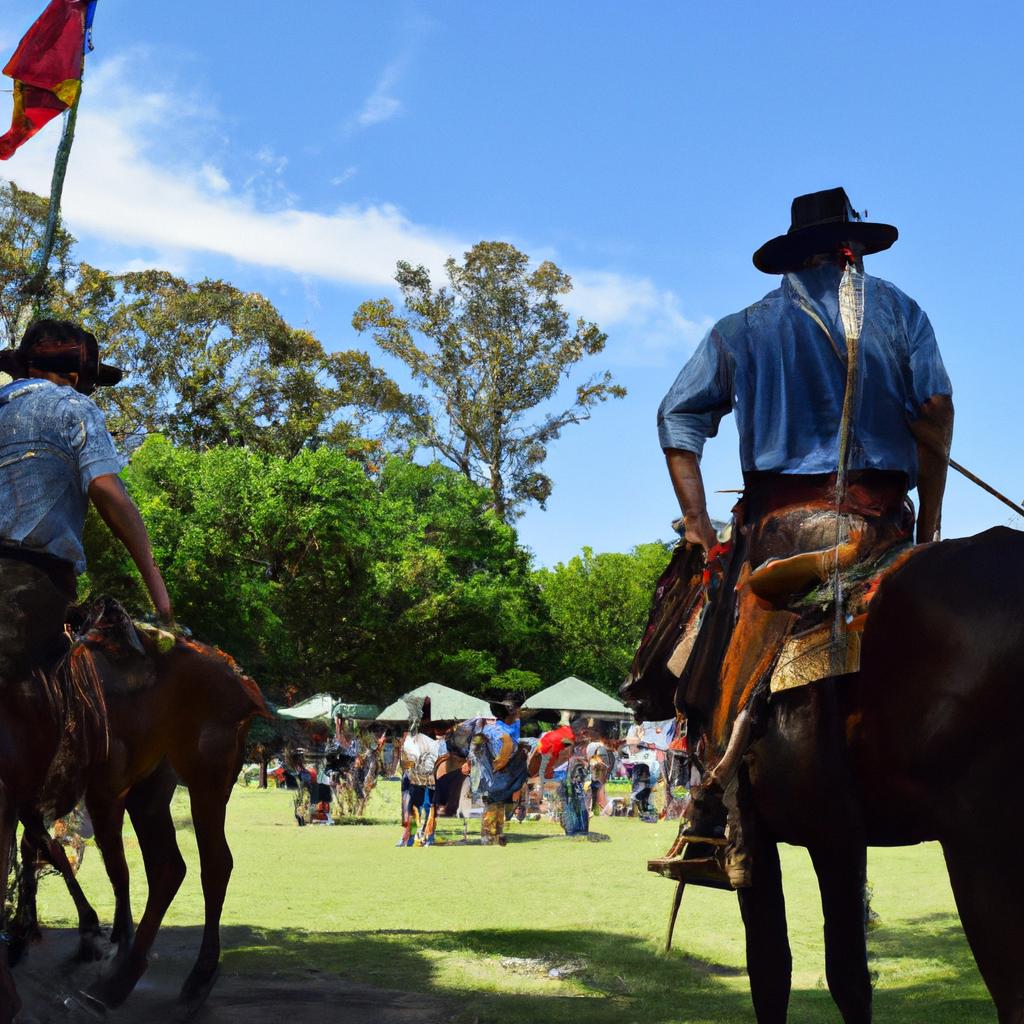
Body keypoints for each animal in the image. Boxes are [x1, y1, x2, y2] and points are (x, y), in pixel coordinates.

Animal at [7, 598, 272, 1019]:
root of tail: (240, 682)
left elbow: (48, 851)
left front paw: (86, 933)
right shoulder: (34, 795)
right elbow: (38, 849)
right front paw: (27, 933)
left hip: (194, 778)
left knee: (206, 863)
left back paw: (185, 977)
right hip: (149, 790)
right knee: (167, 865)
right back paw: (125, 974)